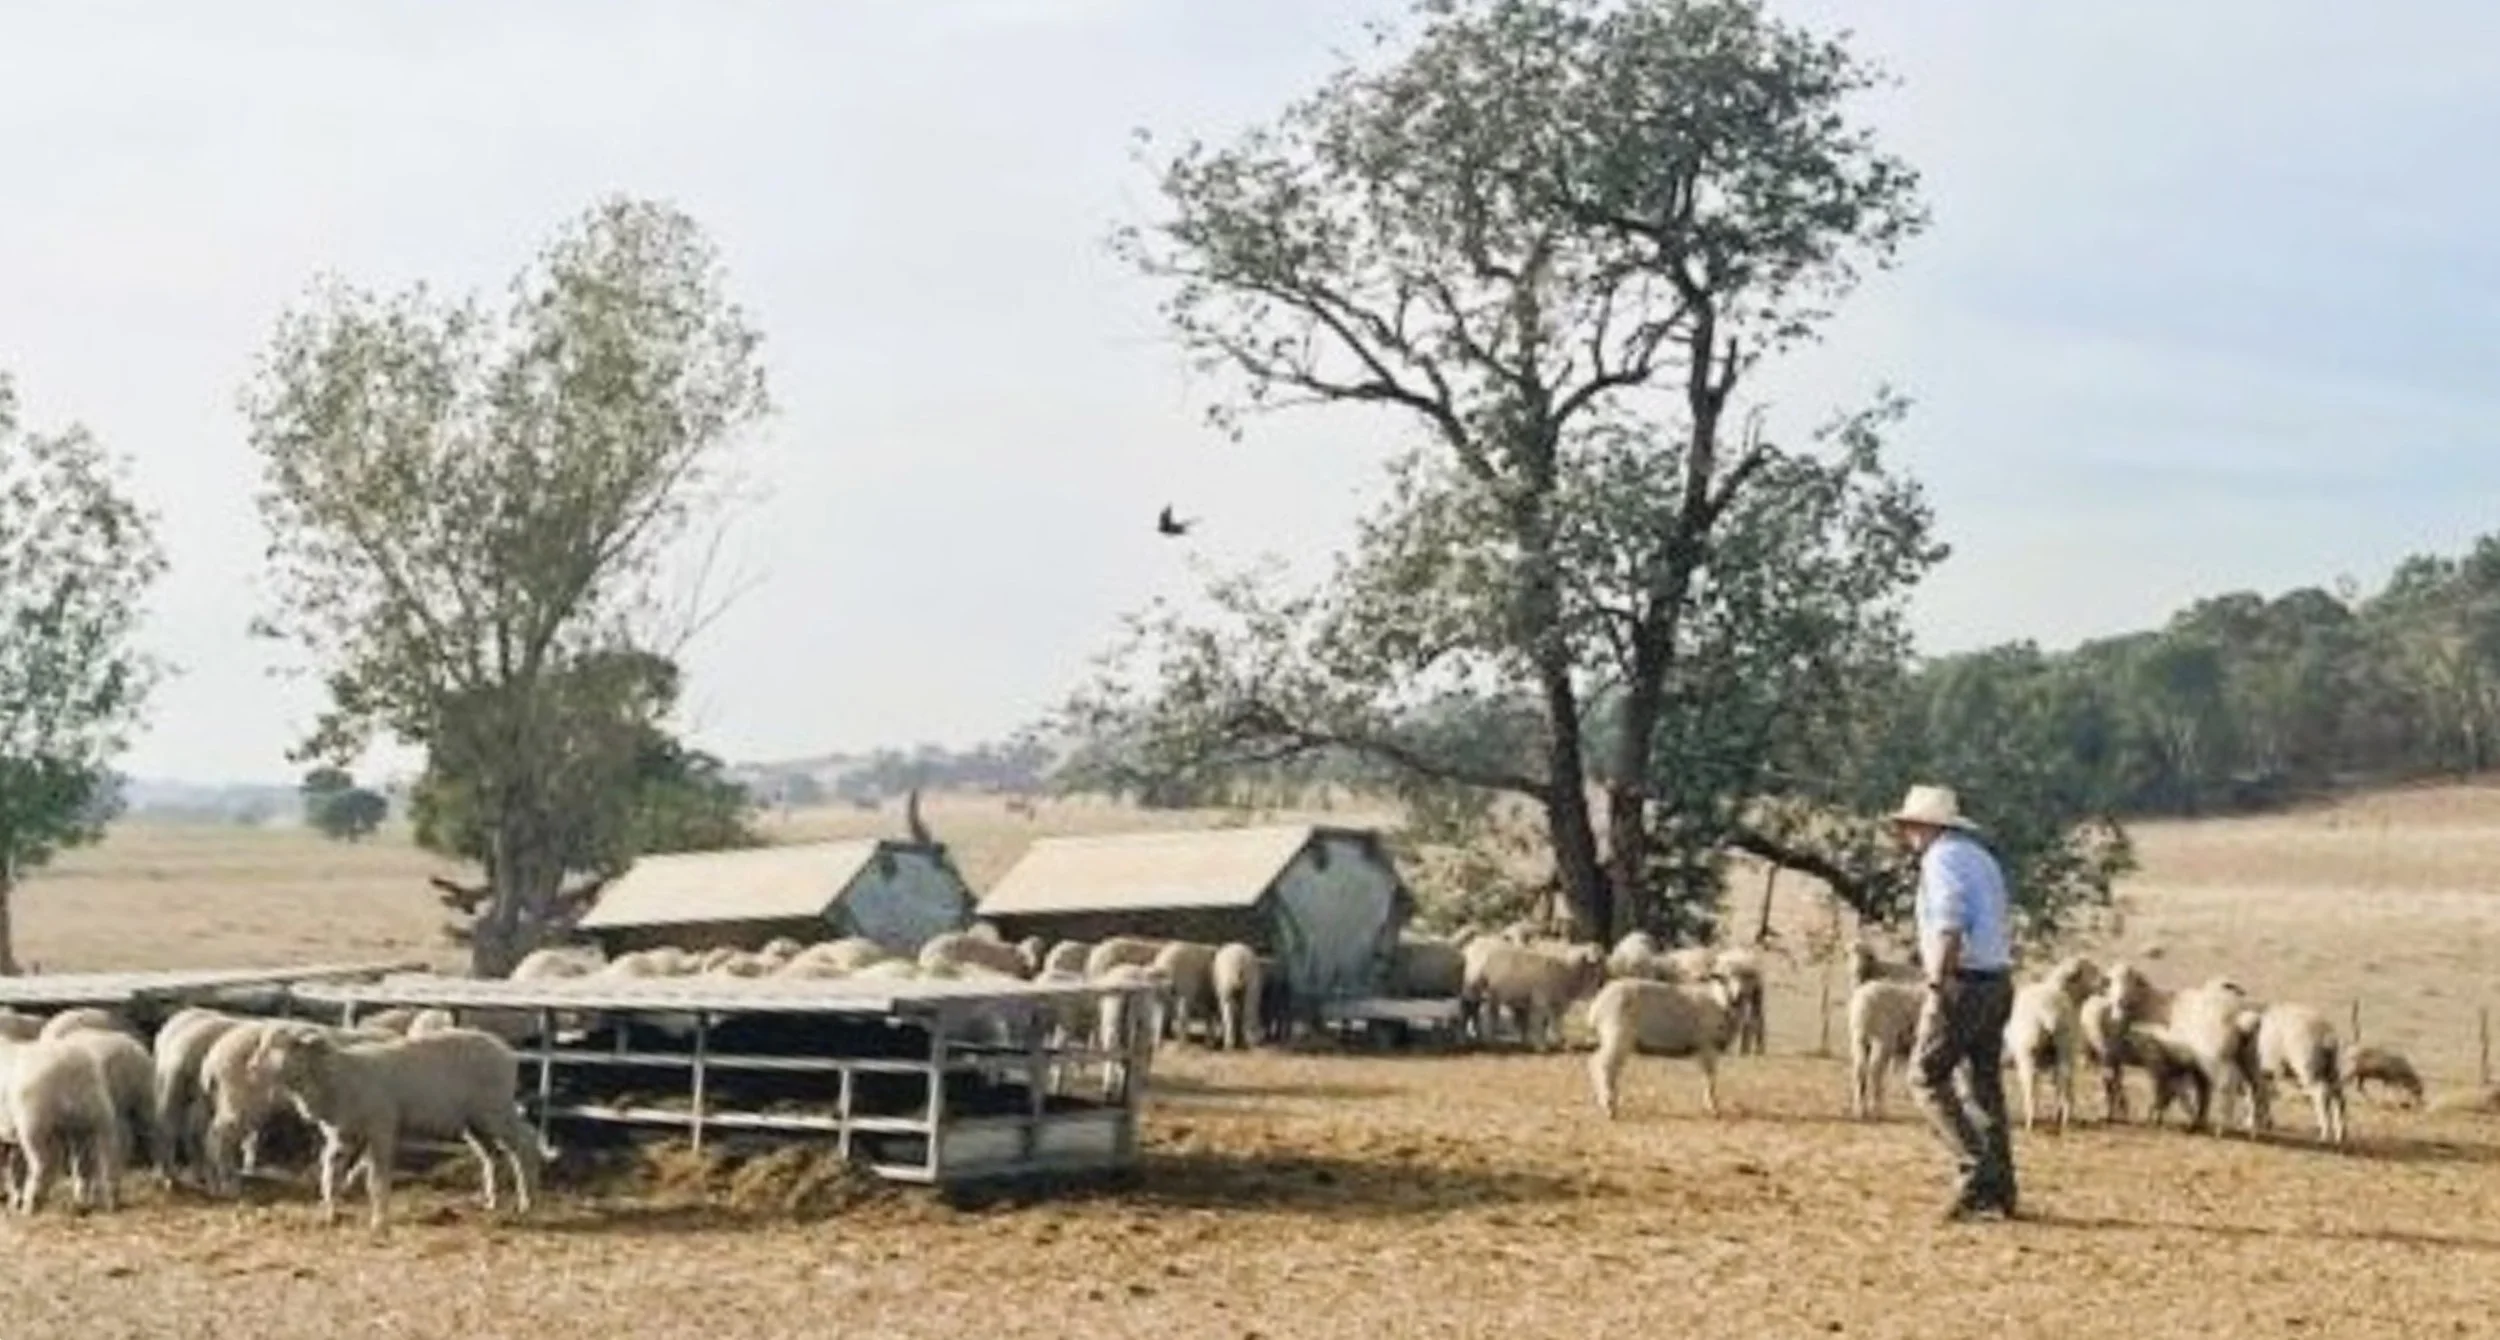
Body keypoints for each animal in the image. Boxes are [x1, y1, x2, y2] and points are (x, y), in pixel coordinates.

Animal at [258, 1025, 540, 1230]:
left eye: (292, 1046)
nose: (255, 1067)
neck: (338, 1077)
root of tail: (505, 1051)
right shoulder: (342, 1136)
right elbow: (330, 1175)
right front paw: (330, 1214)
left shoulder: (381, 1128)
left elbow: (376, 1179)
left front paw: (379, 1220)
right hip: (474, 1121)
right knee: (489, 1154)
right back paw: (491, 1201)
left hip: (495, 1109)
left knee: (525, 1144)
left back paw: (527, 1202)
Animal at [1460, 941, 1607, 1052]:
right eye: (1598, 961)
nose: (1602, 982)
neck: (1565, 970)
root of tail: (1470, 947)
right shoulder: (1540, 1000)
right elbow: (1538, 1022)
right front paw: (1541, 1045)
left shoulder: (1554, 1003)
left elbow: (1553, 1023)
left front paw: (1557, 1042)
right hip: (1473, 991)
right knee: (1472, 1012)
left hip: (1490, 997)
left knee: (1483, 1014)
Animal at [1586, 975, 1740, 1119]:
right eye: (1725, 979)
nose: (1736, 998)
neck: (1718, 1002)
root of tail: (1597, 1004)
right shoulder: (1707, 1045)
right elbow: (1710, 1078)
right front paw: (1714, 1108)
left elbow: (1708, 1077)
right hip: (1617, 1035)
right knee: (1604, 1066)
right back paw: (1609, 1107)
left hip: (1615, 1039)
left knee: (1598, 1063)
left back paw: (1608, 1103)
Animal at [2003, 955, 2108, 1133]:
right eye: (2091, 969)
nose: (2107, 981)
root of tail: (2047, 1012)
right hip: (2062, 1047)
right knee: (2063, 1078)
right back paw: (2062, 1118)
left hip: (2029, 1051)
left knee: (2032, 1084)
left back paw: (2031, 1121)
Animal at [2250, 1003, 2348, 1146]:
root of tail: (2326, 1034)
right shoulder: (2264, 1074)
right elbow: (2263, 1095)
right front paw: (2266, 1122)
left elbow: (2256, 1095)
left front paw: (2255, 1122)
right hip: (2331, 1067)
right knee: (2338, 1095)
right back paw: (2341, 1134)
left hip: (2306, 1064)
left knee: (2321, 1093)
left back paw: (2324, 1134)